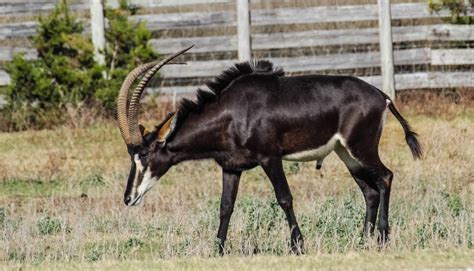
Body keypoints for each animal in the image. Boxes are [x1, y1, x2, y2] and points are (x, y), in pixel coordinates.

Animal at [117, 44, 422, 255]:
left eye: (144, 155)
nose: (128, 198)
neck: (232, 112)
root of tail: (382, 96)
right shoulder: (231, 167)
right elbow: (225, 206)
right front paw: (218, 250)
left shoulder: (270, 158)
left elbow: (284, 198)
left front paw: (298, 246)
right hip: (346, 154)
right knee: (369, 191)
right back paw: (361, 241)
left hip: (362, 147)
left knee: (385, 177)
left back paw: (383, 239)